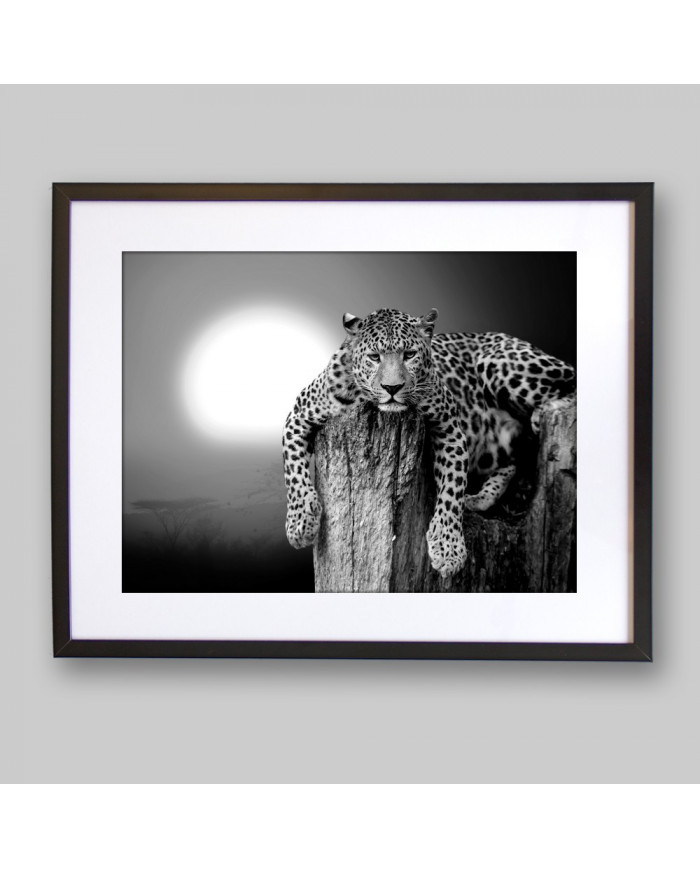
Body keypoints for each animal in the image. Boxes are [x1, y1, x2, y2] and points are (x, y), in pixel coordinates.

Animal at [283, 308, 575, 579]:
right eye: (374, 357)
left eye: (409, 355)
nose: (392, 388)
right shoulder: (298, 415)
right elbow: (293, 471)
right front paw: (300, 524)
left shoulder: (450, 427)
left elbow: (452, 488)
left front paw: (448, 549)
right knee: (512, 462)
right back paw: (479, 498)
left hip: (501, 363)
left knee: (571, 383)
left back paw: (544, 413)